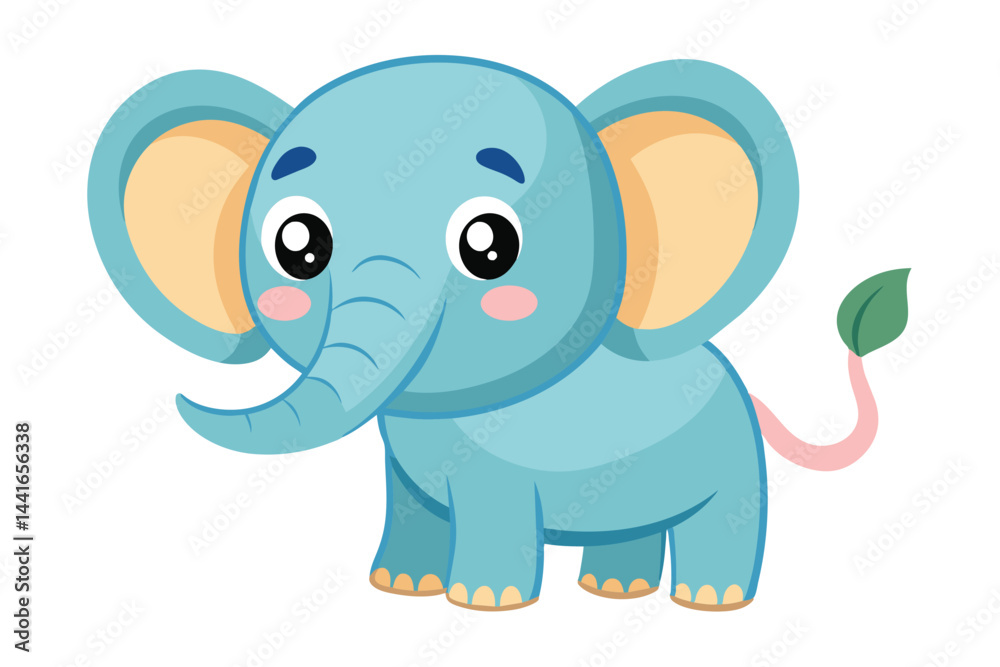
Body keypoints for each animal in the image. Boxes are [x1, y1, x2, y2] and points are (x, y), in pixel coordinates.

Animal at [88, 56, 907, 612]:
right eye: (298, 245)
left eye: (489, 245)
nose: (183, 399)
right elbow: (411, 501)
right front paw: (400, 586)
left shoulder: (502, 474)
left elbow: (492, 510)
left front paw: (481, 603)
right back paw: (615, 589)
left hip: (734, 462)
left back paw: (709, 602)